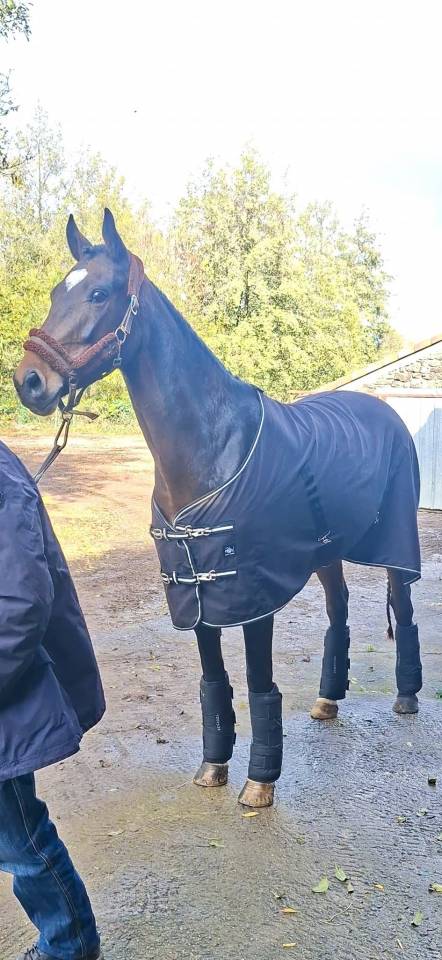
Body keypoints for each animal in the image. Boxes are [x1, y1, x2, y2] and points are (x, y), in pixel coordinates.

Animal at [13, 209, 423, 808]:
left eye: (99, 293)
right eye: (52, 293)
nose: (28, 381)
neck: (213, 445)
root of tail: (387, 413)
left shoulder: (252, 592)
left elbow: (257, 681)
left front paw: (259, 782)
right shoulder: (194, 590)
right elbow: (212, 678)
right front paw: (213, 766)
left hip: (396, 544)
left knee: (403, 606)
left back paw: (408, 697)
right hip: (326, 553)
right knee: (339, 610)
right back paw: (327, 700)